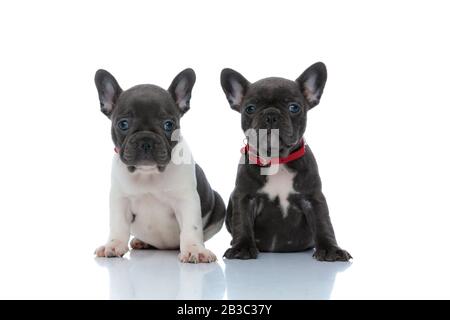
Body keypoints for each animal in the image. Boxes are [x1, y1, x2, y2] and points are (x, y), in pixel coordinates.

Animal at [94, 67, 225, 262]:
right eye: (123, 124)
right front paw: (113, 245)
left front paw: (194, 250)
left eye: (168, 124)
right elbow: (118, 225)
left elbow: (191, 227)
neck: (148, 175)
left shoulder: (186, 200)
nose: (146, 140)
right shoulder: (120, 200)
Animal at [221, 61, 352, 262]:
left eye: (294, 107)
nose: (271, 114)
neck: (277, 159)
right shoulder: (244, 197)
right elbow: (242, 222)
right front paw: (241, 247)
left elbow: (323, 223)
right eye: (250, 108)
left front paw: (331, 249)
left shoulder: (313, 198)